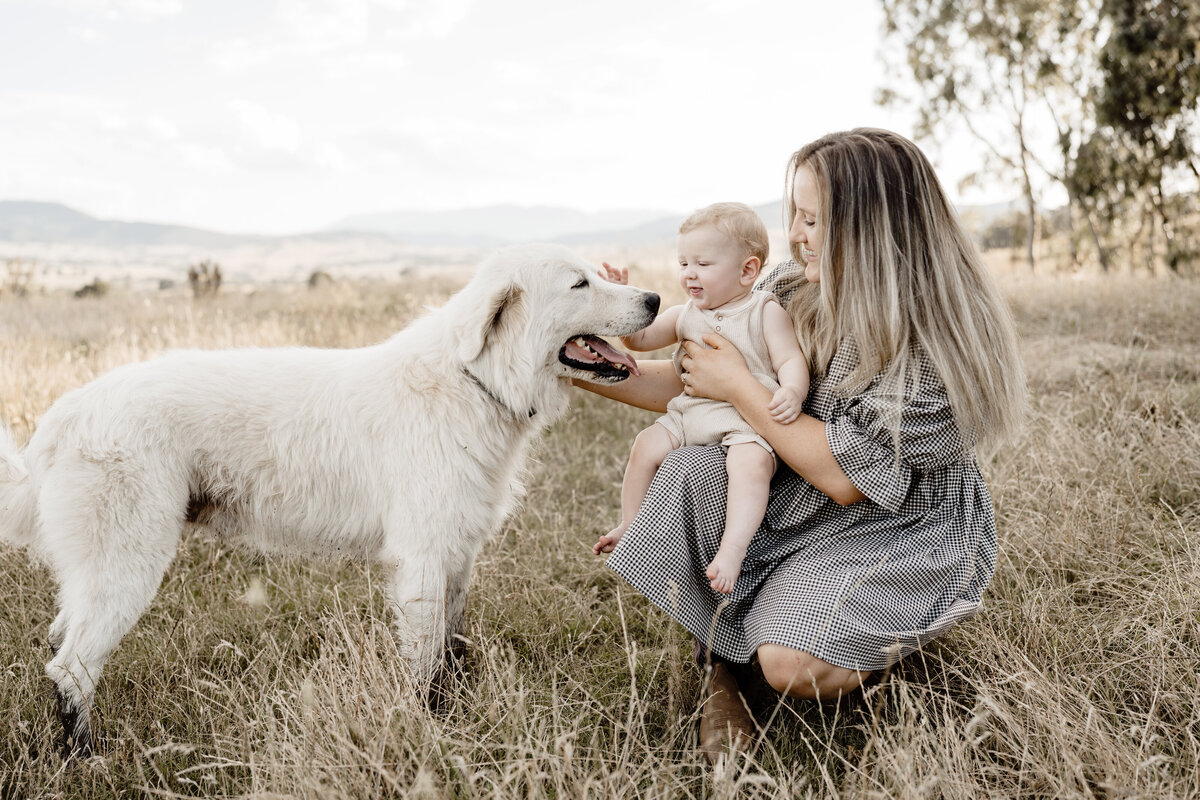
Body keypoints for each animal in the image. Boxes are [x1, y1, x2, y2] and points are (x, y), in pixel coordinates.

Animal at [0, 241, 662, 753]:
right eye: (579, 282)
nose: (655, 300)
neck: (474, 379)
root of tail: (66, 412)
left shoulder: (456, 557)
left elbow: (452, 648)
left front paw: (456, 713)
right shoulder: (422, 561)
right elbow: (425, 661)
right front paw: (430, 731)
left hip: (97, 571)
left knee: (60, 642)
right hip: (127, 565)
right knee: (71, 667)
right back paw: (87, 757)